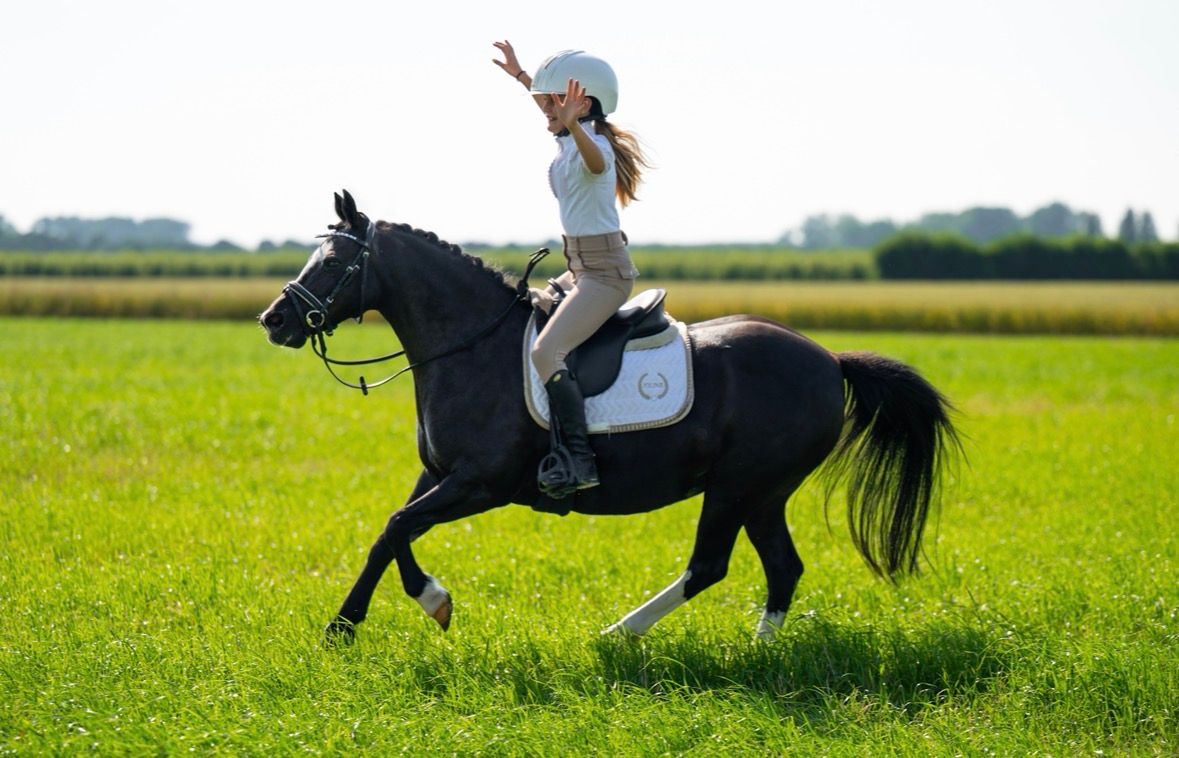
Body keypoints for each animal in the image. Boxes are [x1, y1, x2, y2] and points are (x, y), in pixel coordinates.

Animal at [259, 190, 960, 643]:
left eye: (331, 261)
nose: (274, 319)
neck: (471, 345)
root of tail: (828, 359)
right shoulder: (438, 475)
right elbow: (389, 533)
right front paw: (346, 627)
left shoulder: (480, 484)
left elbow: (399, 527)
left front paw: (428, 603)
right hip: (762, 494)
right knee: (781, 568)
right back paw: (759, 651)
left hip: (740, 486)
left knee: (712, 566)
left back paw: (620, 634)